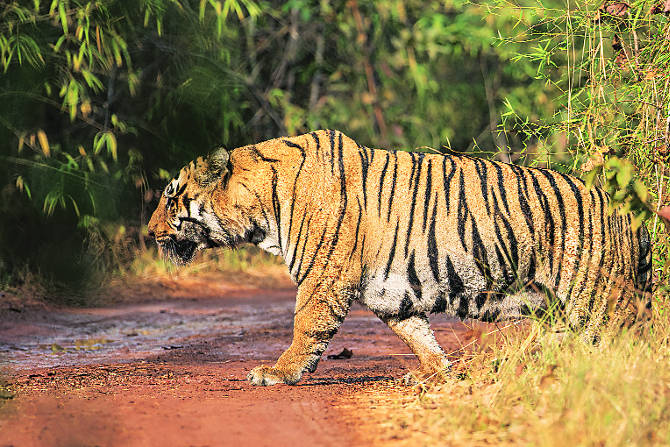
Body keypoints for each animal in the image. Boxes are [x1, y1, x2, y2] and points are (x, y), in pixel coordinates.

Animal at [148, 129, 656, 384]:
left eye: (171, 197)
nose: (149, 233)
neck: (260, 211)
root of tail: (630, 216)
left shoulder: (323, 277)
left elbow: (306, 327)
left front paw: (278, 372)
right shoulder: (391, 291)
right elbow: (417, 334)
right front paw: (438, 373)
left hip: (598, 296)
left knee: (632, 340)